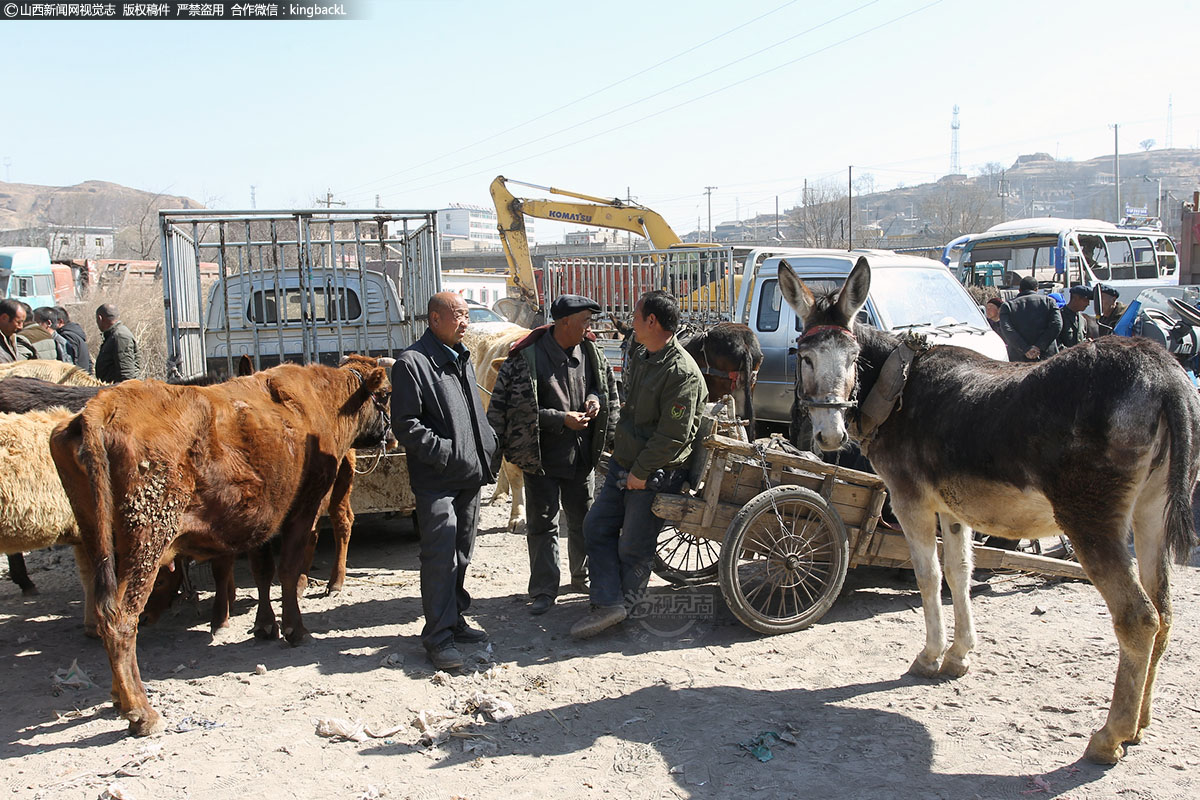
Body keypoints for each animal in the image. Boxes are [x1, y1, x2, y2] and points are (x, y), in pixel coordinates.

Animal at [50, 357, 388, 738]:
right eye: (386, 394)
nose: (389, 433)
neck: (318, 400)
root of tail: (100, 408)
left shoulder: (262, 518)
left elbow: (262, 573)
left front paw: (264, 626)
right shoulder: (300, 510)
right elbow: (286, 571)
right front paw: (294, 629)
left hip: (99, 542)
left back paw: (119, 697)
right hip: (147, 541)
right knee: (120, 617)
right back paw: (140, 711)